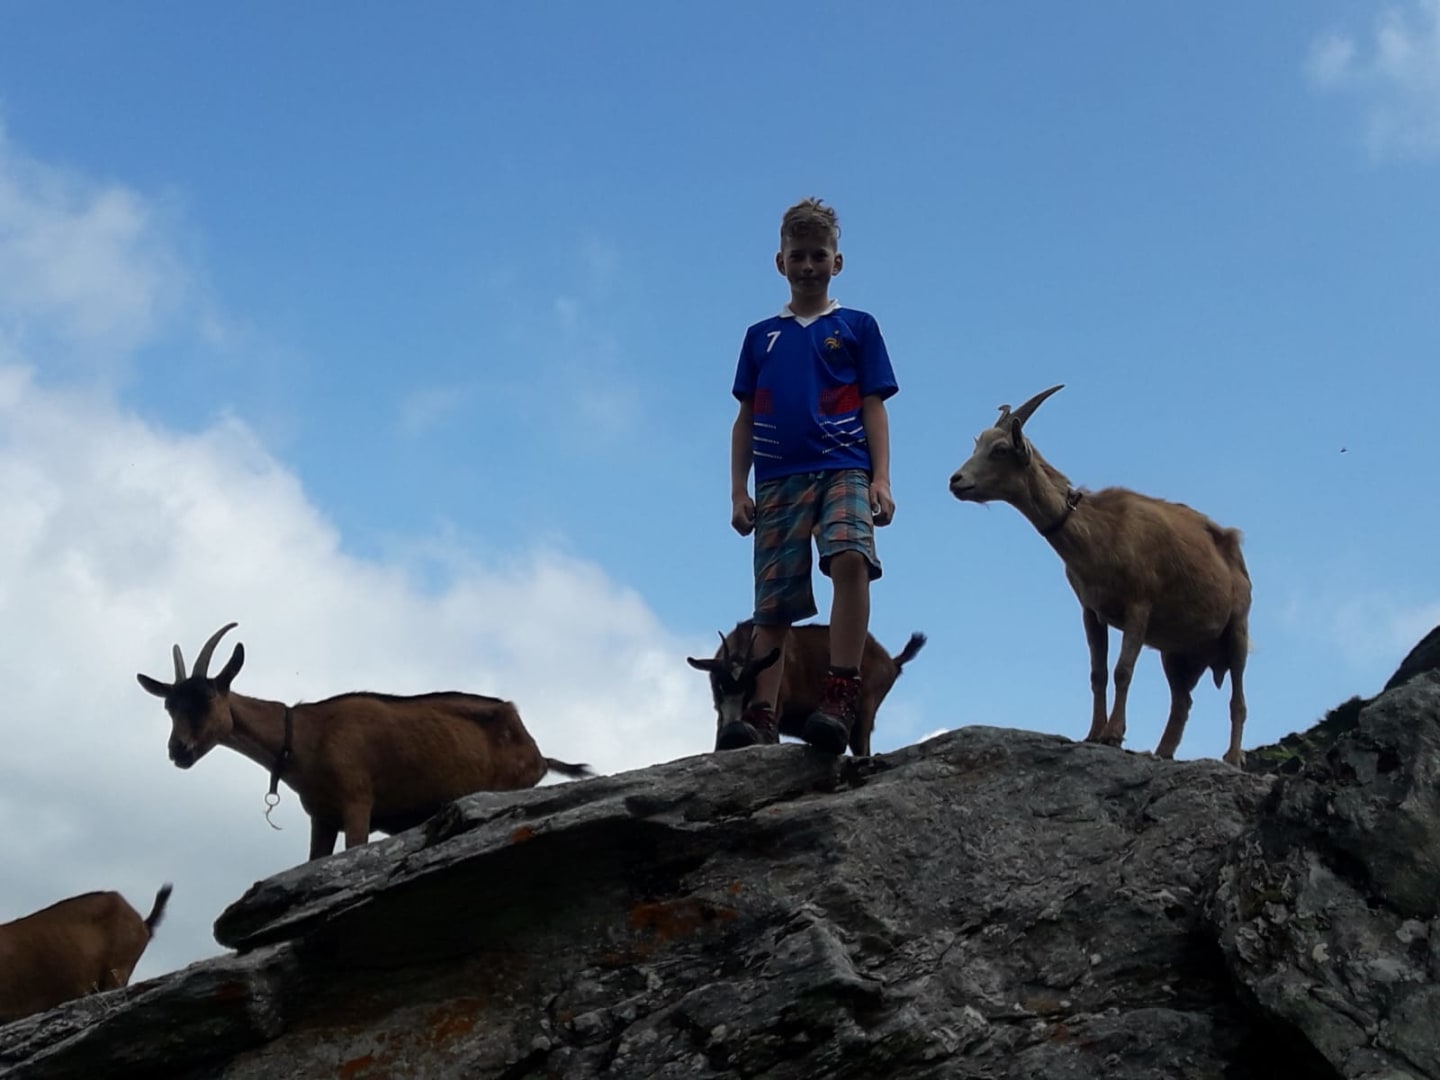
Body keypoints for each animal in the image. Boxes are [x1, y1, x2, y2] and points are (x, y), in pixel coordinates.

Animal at [137, 623, 591, 860]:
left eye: (209, 698)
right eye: (170, 707)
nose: (179, 750)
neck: (304, 738)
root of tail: (538, 753)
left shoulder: (357, 803)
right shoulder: (322, 817)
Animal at [687, 621, 927, 757]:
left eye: (751, 687)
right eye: (719, 686)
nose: (733, 724)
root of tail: (892, 662)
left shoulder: (777, 705)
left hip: (866, 706)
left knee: (862, 746)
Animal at [948, 385, 1251, 766]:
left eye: (1000, 449)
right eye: (977, 446)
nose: (956, 481)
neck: (1099, 533)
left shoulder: (1139, 604)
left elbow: (1123, 670)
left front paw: (1113, 734)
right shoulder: (1092, 611)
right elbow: (1098, 673)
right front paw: (1092, 732)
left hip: (1237, 627)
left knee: (1238, 699)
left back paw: (1232, 757)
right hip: (1175, 650)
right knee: (1182, 701)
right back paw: (1162, 752)